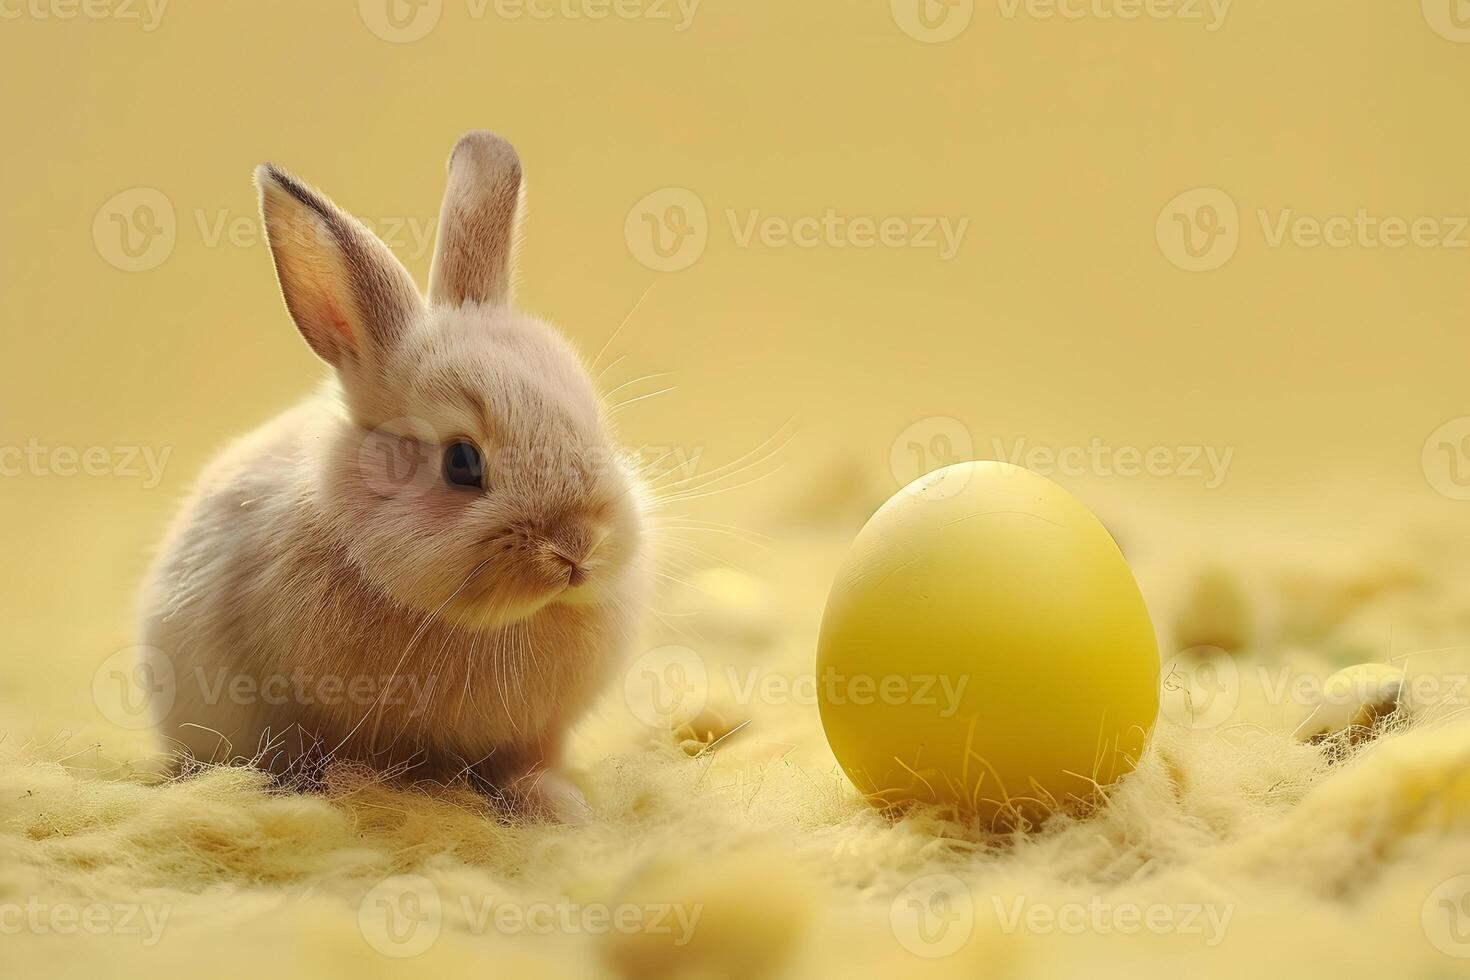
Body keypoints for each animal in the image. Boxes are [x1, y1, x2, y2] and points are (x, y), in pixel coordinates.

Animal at [141, 132, 649, 822]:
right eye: (461, 462)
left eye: (596, 422)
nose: (576, 548)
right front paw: (352, 790)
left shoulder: (533, 736)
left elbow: (526, 766)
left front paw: (559, 805)